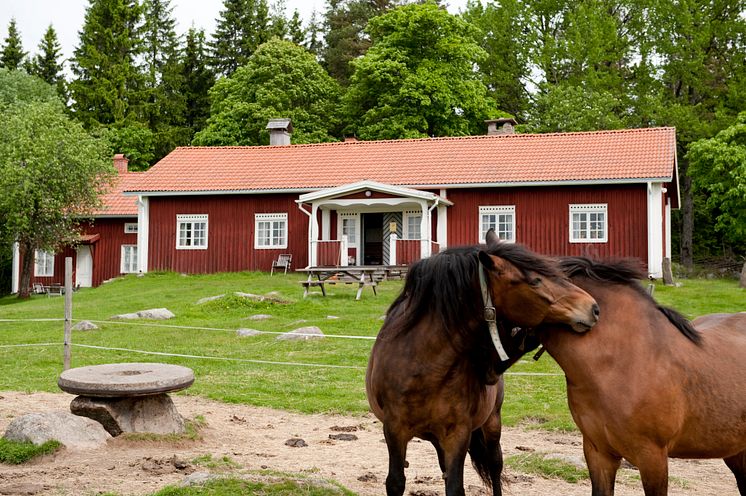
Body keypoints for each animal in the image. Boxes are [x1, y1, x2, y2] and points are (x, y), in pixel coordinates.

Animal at [366, 233, 600, 496]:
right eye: (536, 281)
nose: (592, 308)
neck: (425, 367)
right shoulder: (394, 430)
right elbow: (396, 482)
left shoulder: (458, 434)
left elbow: (455, 486)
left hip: (491, 425)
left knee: (495, 466)